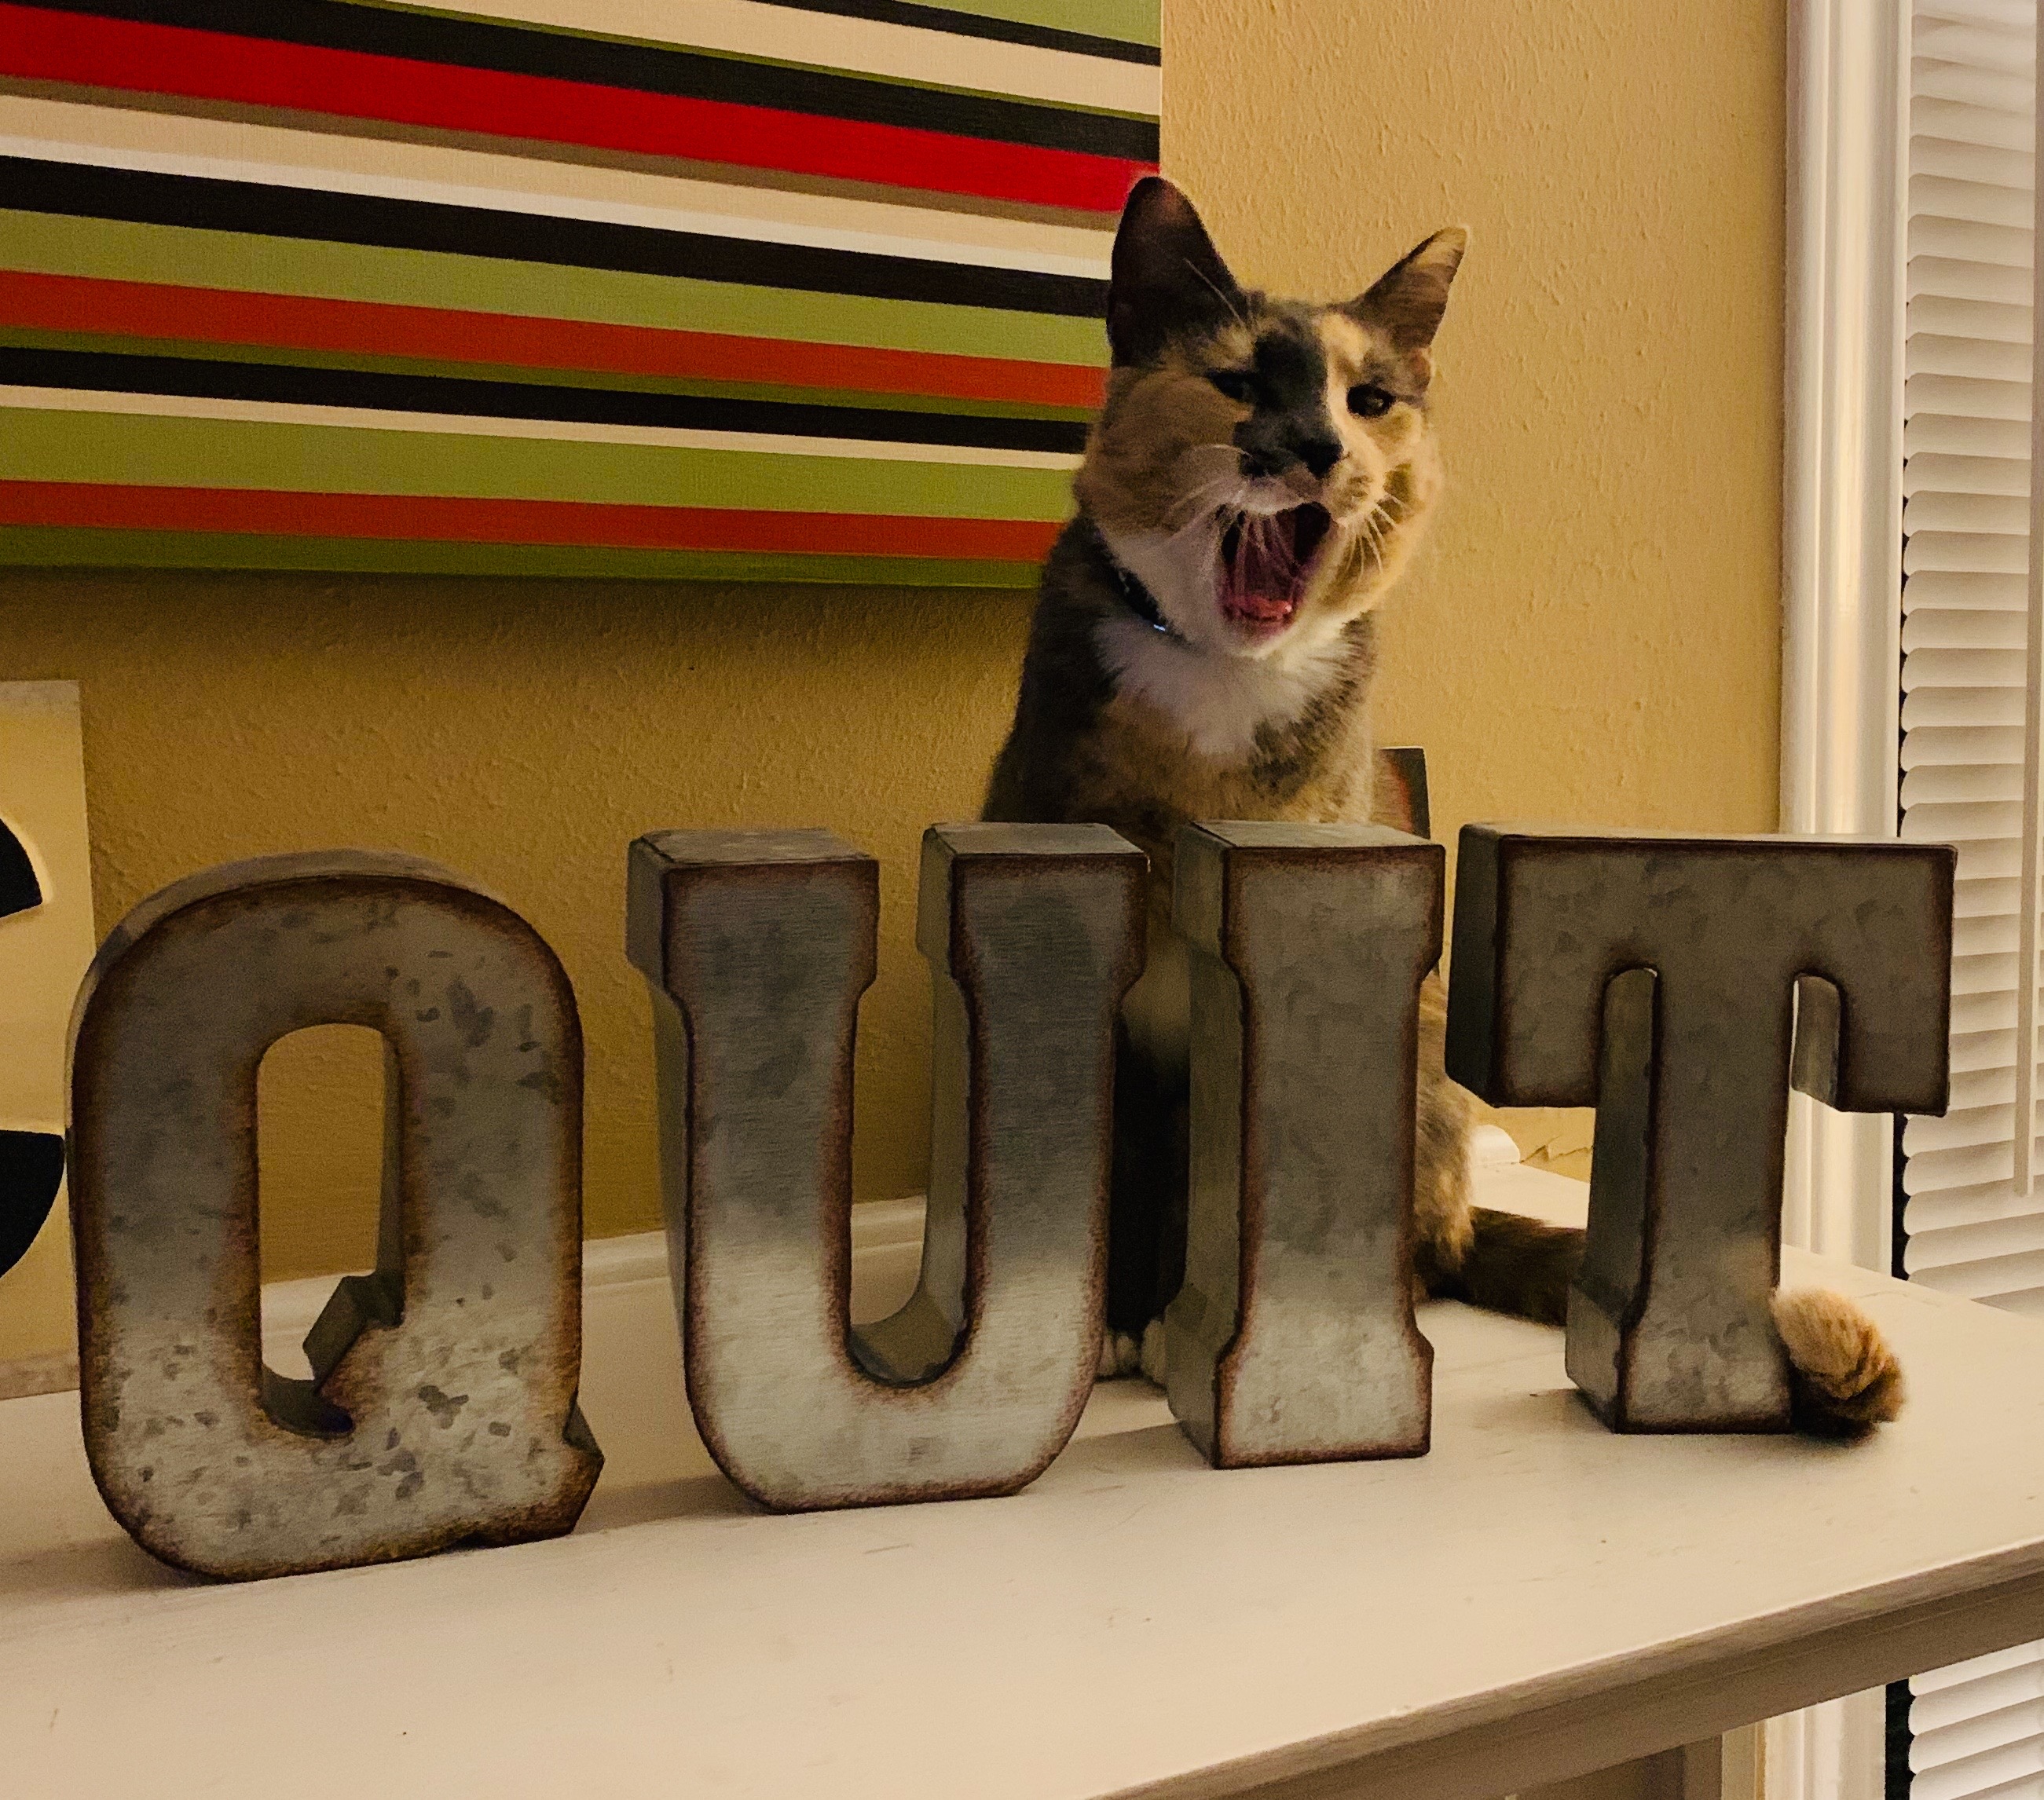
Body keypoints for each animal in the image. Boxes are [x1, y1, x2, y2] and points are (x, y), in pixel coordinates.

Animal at [976, 175, 1896, 1438]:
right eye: (1238, 383)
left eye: (1370, 401)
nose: (1319, 447)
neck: (1220, 690)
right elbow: (1107, 1154)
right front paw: (1117, 1318)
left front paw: (1200, 1322)